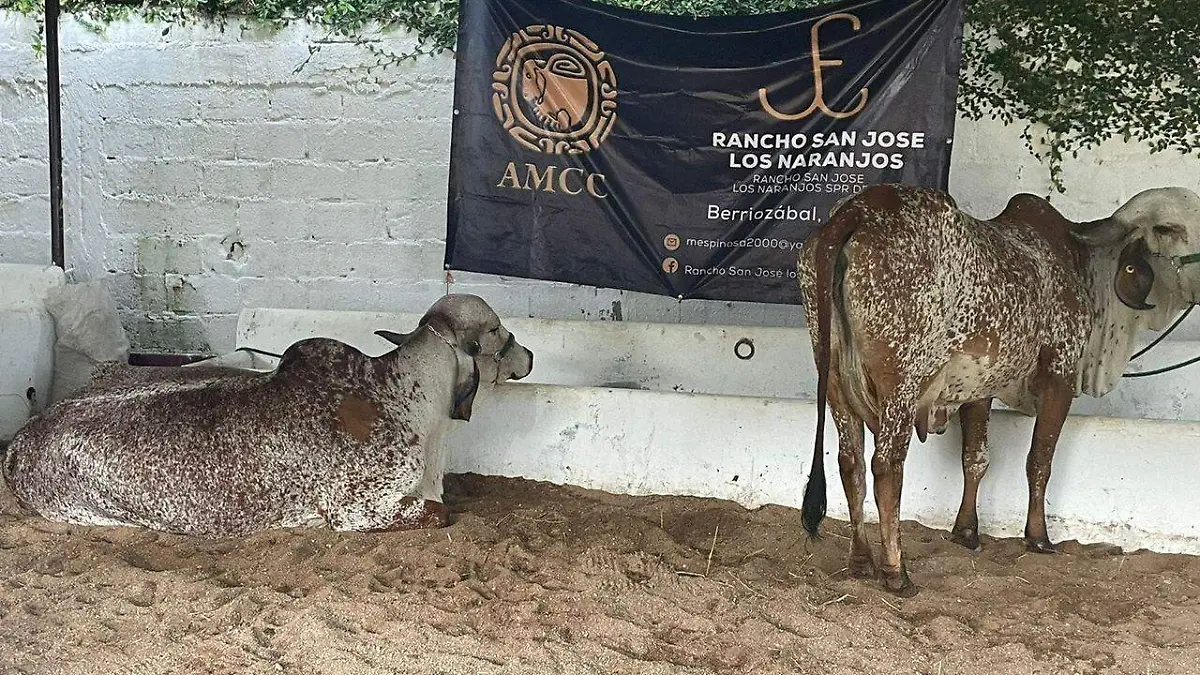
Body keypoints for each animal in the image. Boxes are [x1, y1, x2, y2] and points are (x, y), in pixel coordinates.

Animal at [797, 183, 1200, 596]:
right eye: (1171, 229)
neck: (1081, 263)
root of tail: (859, 209)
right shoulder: (1060, 374)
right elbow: (1039, 462)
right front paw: (1038, 537)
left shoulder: (980, 387)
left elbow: (975, 459)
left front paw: (966, 531)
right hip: (902, 382)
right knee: (886, 465)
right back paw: (896, 572)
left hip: (832, 377)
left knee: (851, 463)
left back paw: (861, 561)